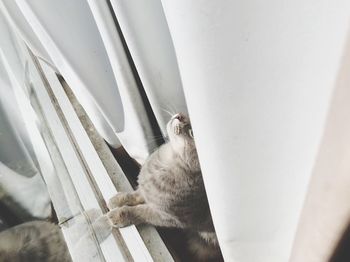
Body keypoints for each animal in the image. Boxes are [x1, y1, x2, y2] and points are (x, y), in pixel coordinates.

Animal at [107, 112, 221, 260]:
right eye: (188, 116)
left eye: (192, 133)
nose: (180, 116)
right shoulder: (147, 190)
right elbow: (134, 195)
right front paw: (117, 200)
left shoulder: (166, 217)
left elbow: (139, 212)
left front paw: (119, 215)